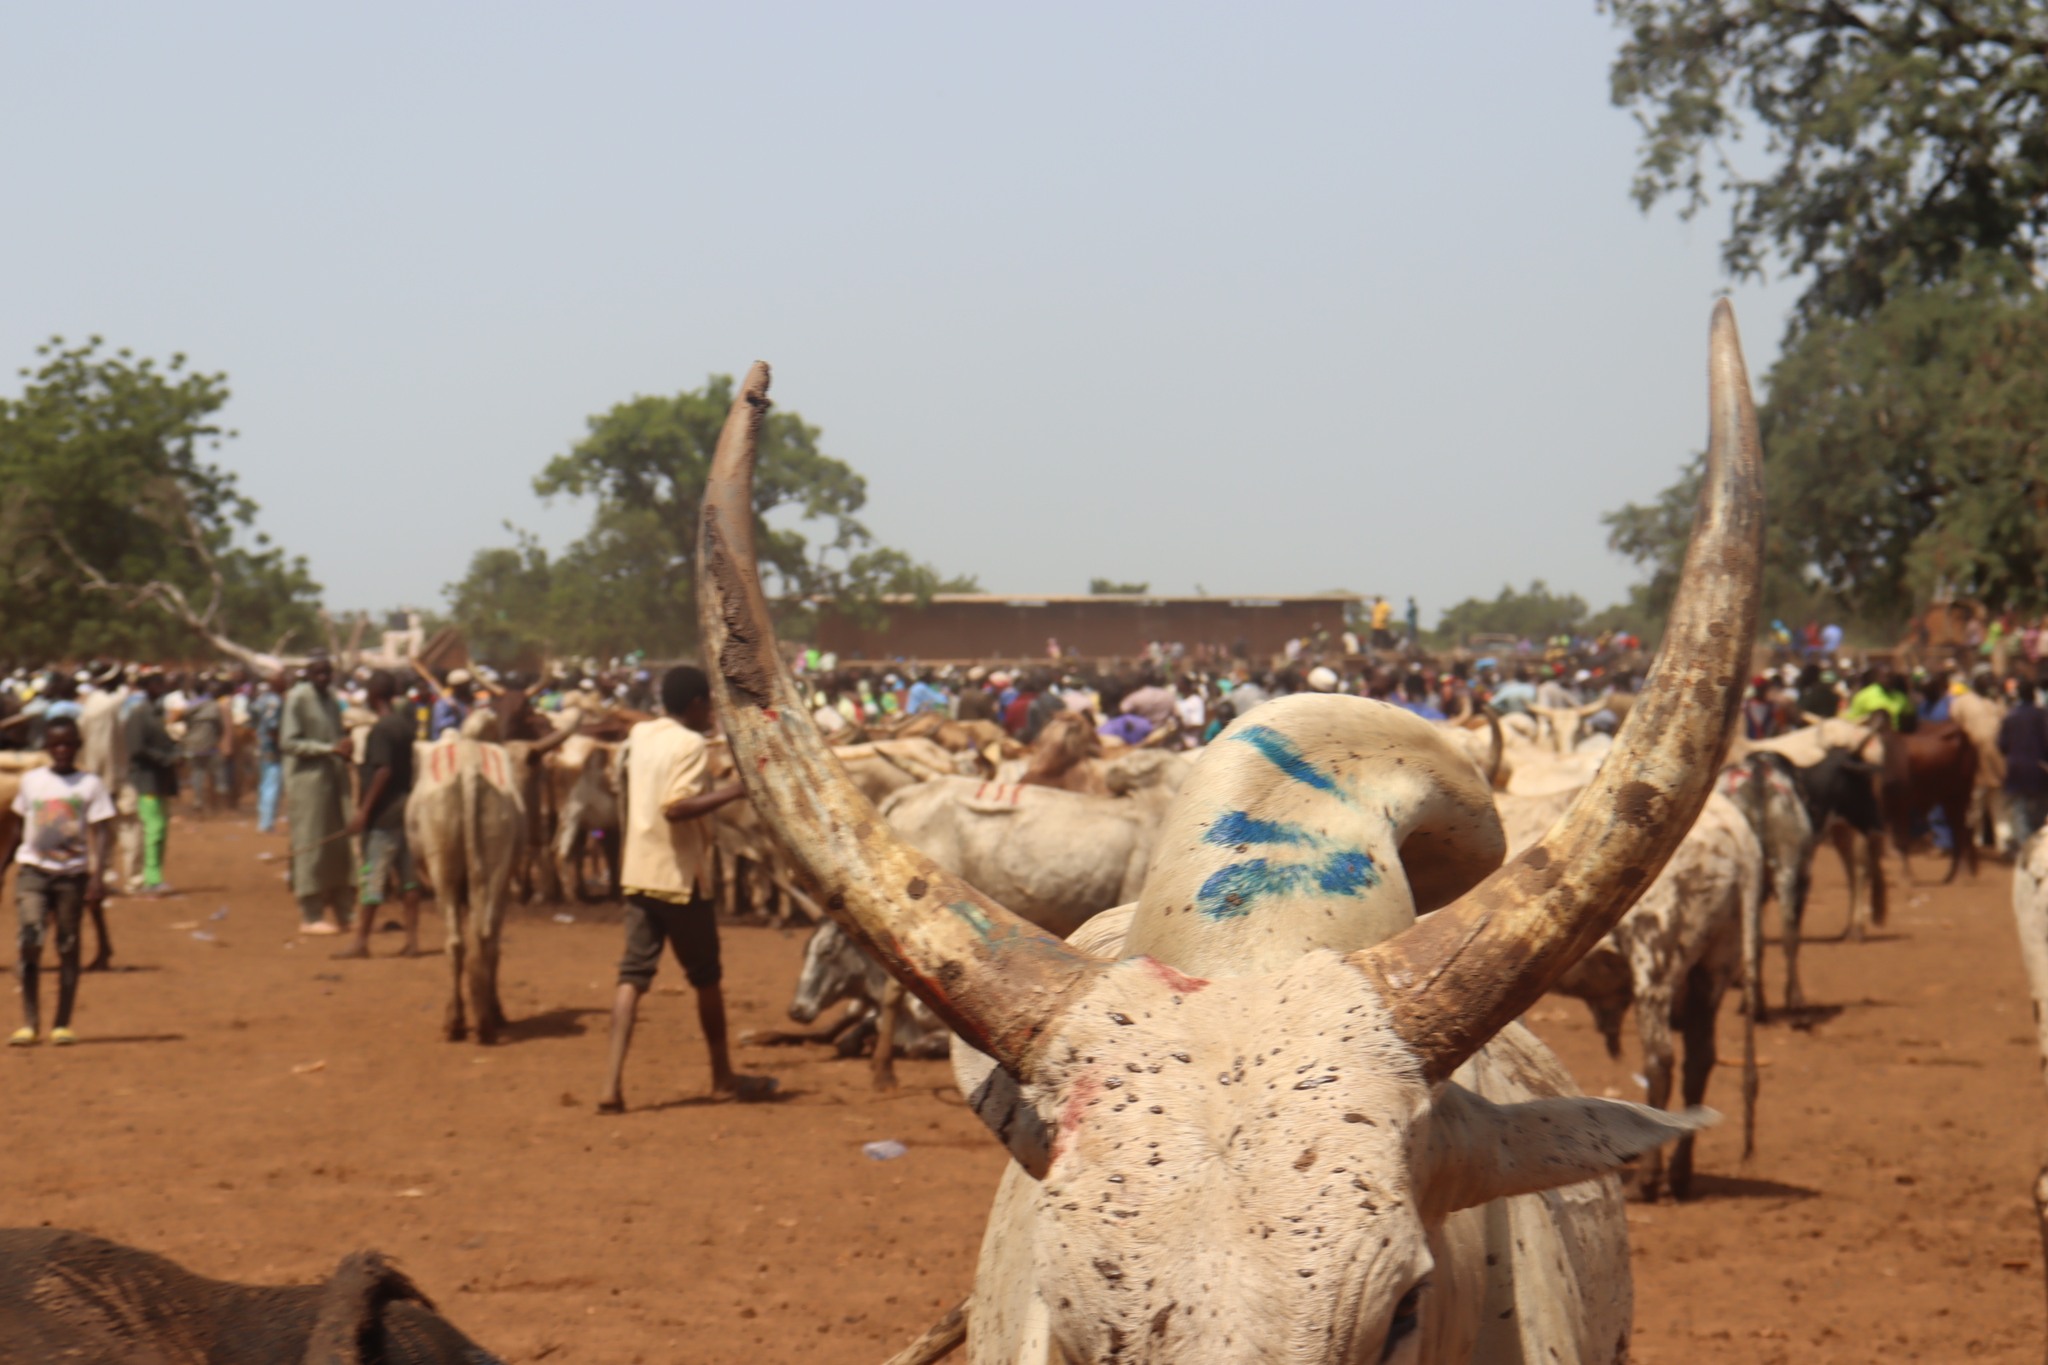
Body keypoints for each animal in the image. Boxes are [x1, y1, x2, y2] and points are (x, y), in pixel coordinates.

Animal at [1720, 749, 1875, 1015]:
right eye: (1863, 783)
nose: (1877, 822)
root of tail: (1758, 775)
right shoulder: (1803, 877)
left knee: (1754, 938)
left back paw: (1755, 1003)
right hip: (1790, 873)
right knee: (1789, 935)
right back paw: (1794, 1000)